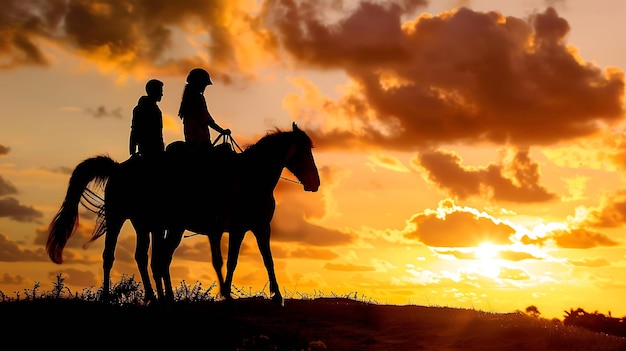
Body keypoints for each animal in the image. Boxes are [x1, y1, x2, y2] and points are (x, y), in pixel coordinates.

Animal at [45, 124, 316, 306]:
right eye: (305, 153)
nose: (315, 183)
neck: (252, 179)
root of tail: (118, 168)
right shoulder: (234, 228)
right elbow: (229, 260)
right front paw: (229, 294)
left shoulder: (257, 227)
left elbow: (262, 260)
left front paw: (275, 296)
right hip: (119, 218)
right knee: (113, 256)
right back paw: (109, 298)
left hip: (147, 224)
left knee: (147, 257)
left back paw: (157, 297)